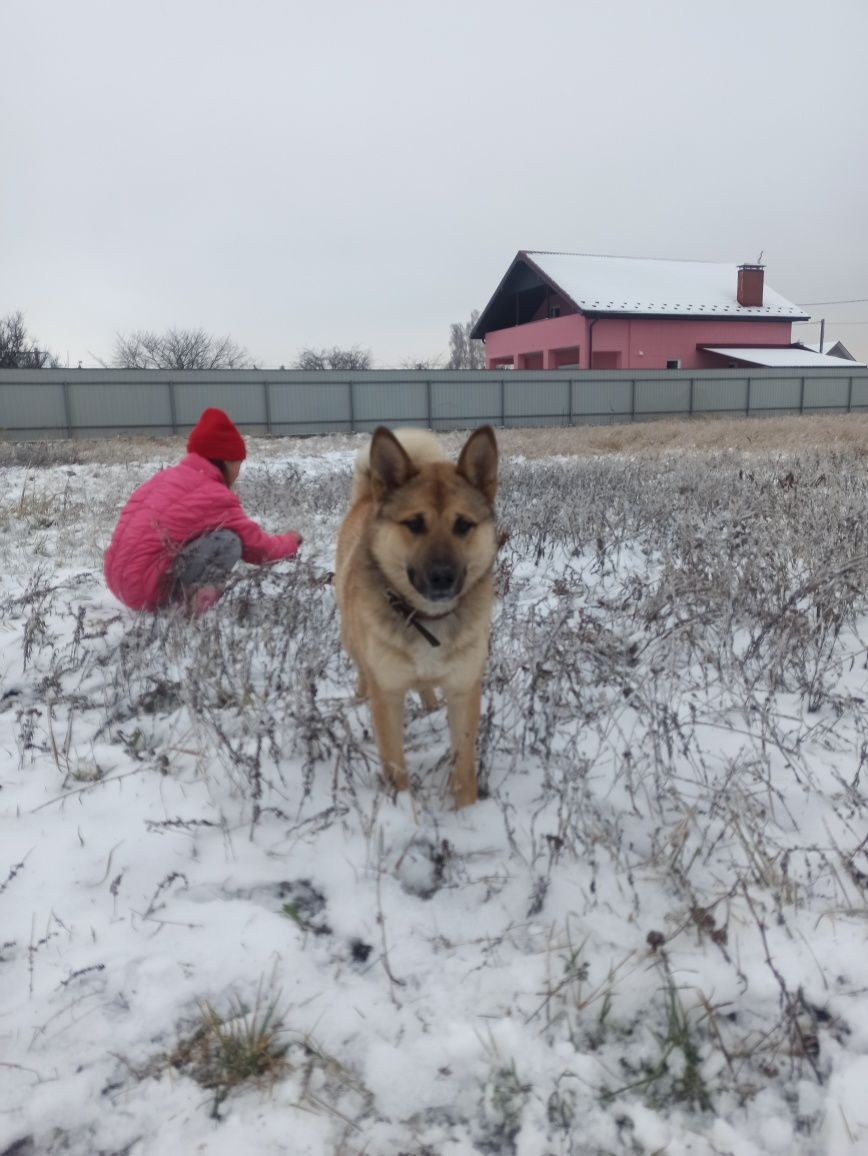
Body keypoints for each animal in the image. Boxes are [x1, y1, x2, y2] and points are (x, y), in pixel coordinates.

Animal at [335, 420, 499, 809]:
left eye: (463, 525)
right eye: (414, 524)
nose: (442, 576)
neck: (428, 619)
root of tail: (368, 497)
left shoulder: (464, 689)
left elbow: (464, 766)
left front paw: (466, 812)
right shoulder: (388, 695)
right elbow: (395, 766)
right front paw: (402, 809)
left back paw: (429, 703)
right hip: (352, 639)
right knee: (361, 670)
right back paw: (359, 697)